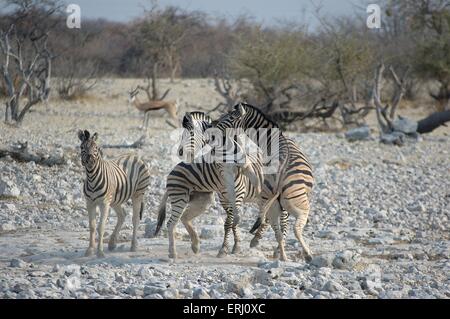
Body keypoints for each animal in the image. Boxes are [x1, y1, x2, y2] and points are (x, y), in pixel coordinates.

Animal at [78, 129, 151, 258]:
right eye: (82, 147)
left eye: (96, 147)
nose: (90, 159)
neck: (92, 179)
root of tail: (134, 155)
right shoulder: (90, 203)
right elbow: (92, 226)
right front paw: (90, 250)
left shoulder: (104, 203)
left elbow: (101, 227)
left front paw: (100, 252)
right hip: (115, 200)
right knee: (122, 215)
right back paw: (112, 243)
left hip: (138, 194)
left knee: (135, 219)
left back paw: (133, 246)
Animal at [155, 112, 268, 260]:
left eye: (190, 134)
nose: (180, 152)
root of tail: (170, 175)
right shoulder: (228, 190)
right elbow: (231, 219)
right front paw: (228, 248)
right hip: (180, 198)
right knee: (171, 223)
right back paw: (173, 252)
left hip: (203, 201)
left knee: (185, 217)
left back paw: (195, 245)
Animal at [214, 104, 312, 262]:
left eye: (230, 117)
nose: (213, 127)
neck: (275, 139)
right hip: (298, 204)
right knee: (293, 227)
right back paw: (305, 254)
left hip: (275, 202)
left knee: (276, 225)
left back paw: (279, 253)